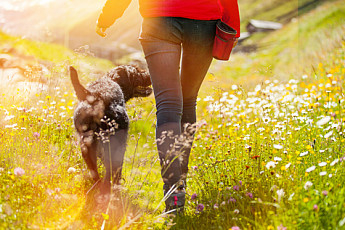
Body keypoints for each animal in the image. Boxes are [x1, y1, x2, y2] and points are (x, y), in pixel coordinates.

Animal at [69, 65, 151, 194]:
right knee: (110, 174)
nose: (149, 75)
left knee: (95, 173)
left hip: (87, 145)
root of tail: (94, 97)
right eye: (137, 70)